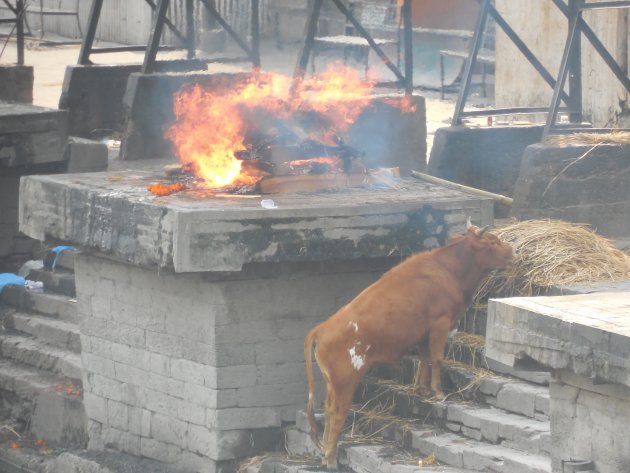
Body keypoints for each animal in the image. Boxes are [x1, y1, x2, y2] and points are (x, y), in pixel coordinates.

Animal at [304, 218, 516, 468]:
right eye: (493, 242)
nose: (514, 252)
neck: (449, 269)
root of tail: (322, 328)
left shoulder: (423, 332)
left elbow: (424, 358)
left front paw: (423, 388)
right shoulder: (439, 323)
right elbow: (437, 358)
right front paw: (437, 391)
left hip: (332, 383)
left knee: (327, 411)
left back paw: (326, 454)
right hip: (345, 381)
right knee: (337, 414)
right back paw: (330, 459)